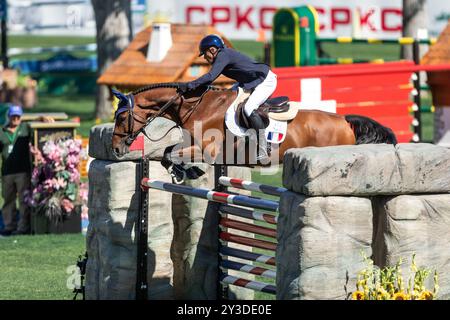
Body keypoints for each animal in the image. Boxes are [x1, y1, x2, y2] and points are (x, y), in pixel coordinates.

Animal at [110, 82, 396, 182]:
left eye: (122, 116)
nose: (116, 149)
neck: (197, 107)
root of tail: (344, 120)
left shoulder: (207, 151)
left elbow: (171, 155)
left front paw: (188, 172)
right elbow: (168, 152)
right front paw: (184, 172)